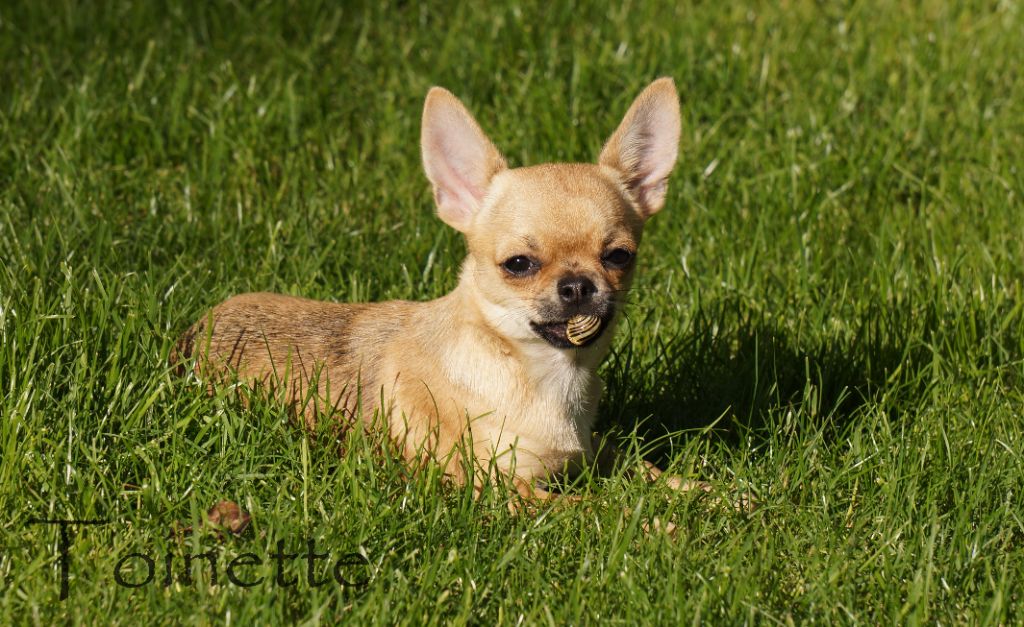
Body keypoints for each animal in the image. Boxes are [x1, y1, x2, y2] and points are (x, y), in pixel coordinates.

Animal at [176, 79, 708, 504]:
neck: (545, 375)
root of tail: (197, 329)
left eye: (619, 256)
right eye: (518, 265)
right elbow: (600, 511)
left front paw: (714, 496)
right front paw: (663, 526)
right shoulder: (502, 487)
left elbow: (644, 467)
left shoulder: (593, 451)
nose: (578, 284)